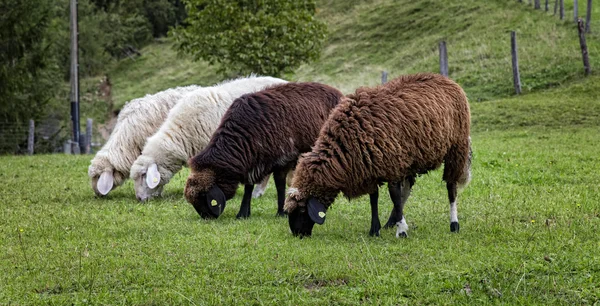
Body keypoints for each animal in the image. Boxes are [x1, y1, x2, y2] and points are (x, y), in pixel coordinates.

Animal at [183, 82, 342, 220]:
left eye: (203, 197)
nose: (207, 219)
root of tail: (334, 90)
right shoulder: (252, 161)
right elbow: (248, 187)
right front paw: (243, 214)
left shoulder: (283, 158)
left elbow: (279, 185)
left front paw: (282, 212)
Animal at [284, 73, 472, 238]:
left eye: (302, 209)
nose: (298, 234)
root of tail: (445, 79)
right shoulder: (370, 166)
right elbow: (374, 198)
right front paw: (375, 229)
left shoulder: (392, 165)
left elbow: (394, 196)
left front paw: (401, 231)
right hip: (411, 158)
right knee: (408, 187)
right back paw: (392, 221)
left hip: (456, 148)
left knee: (451, 187)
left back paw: (454, 224)